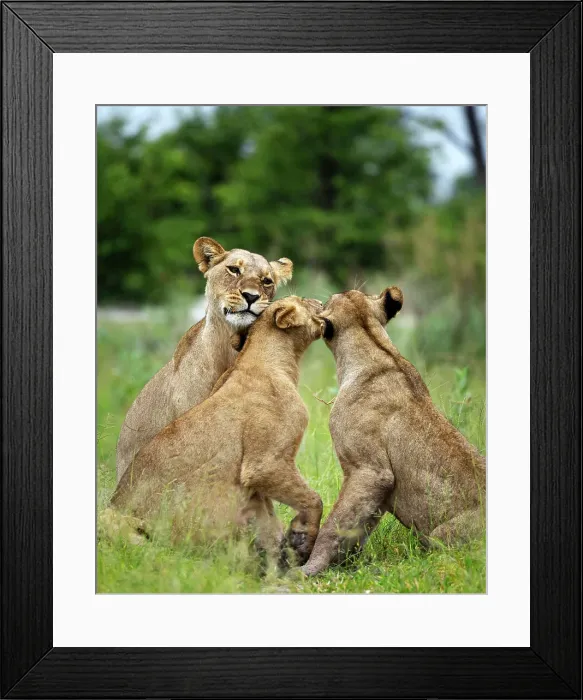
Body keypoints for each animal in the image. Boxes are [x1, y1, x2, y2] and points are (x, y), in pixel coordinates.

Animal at [110, 296, 325, 564]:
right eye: (305, 300)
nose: (322, 301)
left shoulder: (255, 488)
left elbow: (268, 518)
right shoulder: (265, 464)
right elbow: (313, 500)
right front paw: (301, 543)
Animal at [301, 287, 486, 576]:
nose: (317, 302)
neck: (378, 349)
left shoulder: (370, 471)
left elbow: (334, 525)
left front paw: (307, 568)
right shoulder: (378, 491)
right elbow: (355, 528)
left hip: (441, 536)